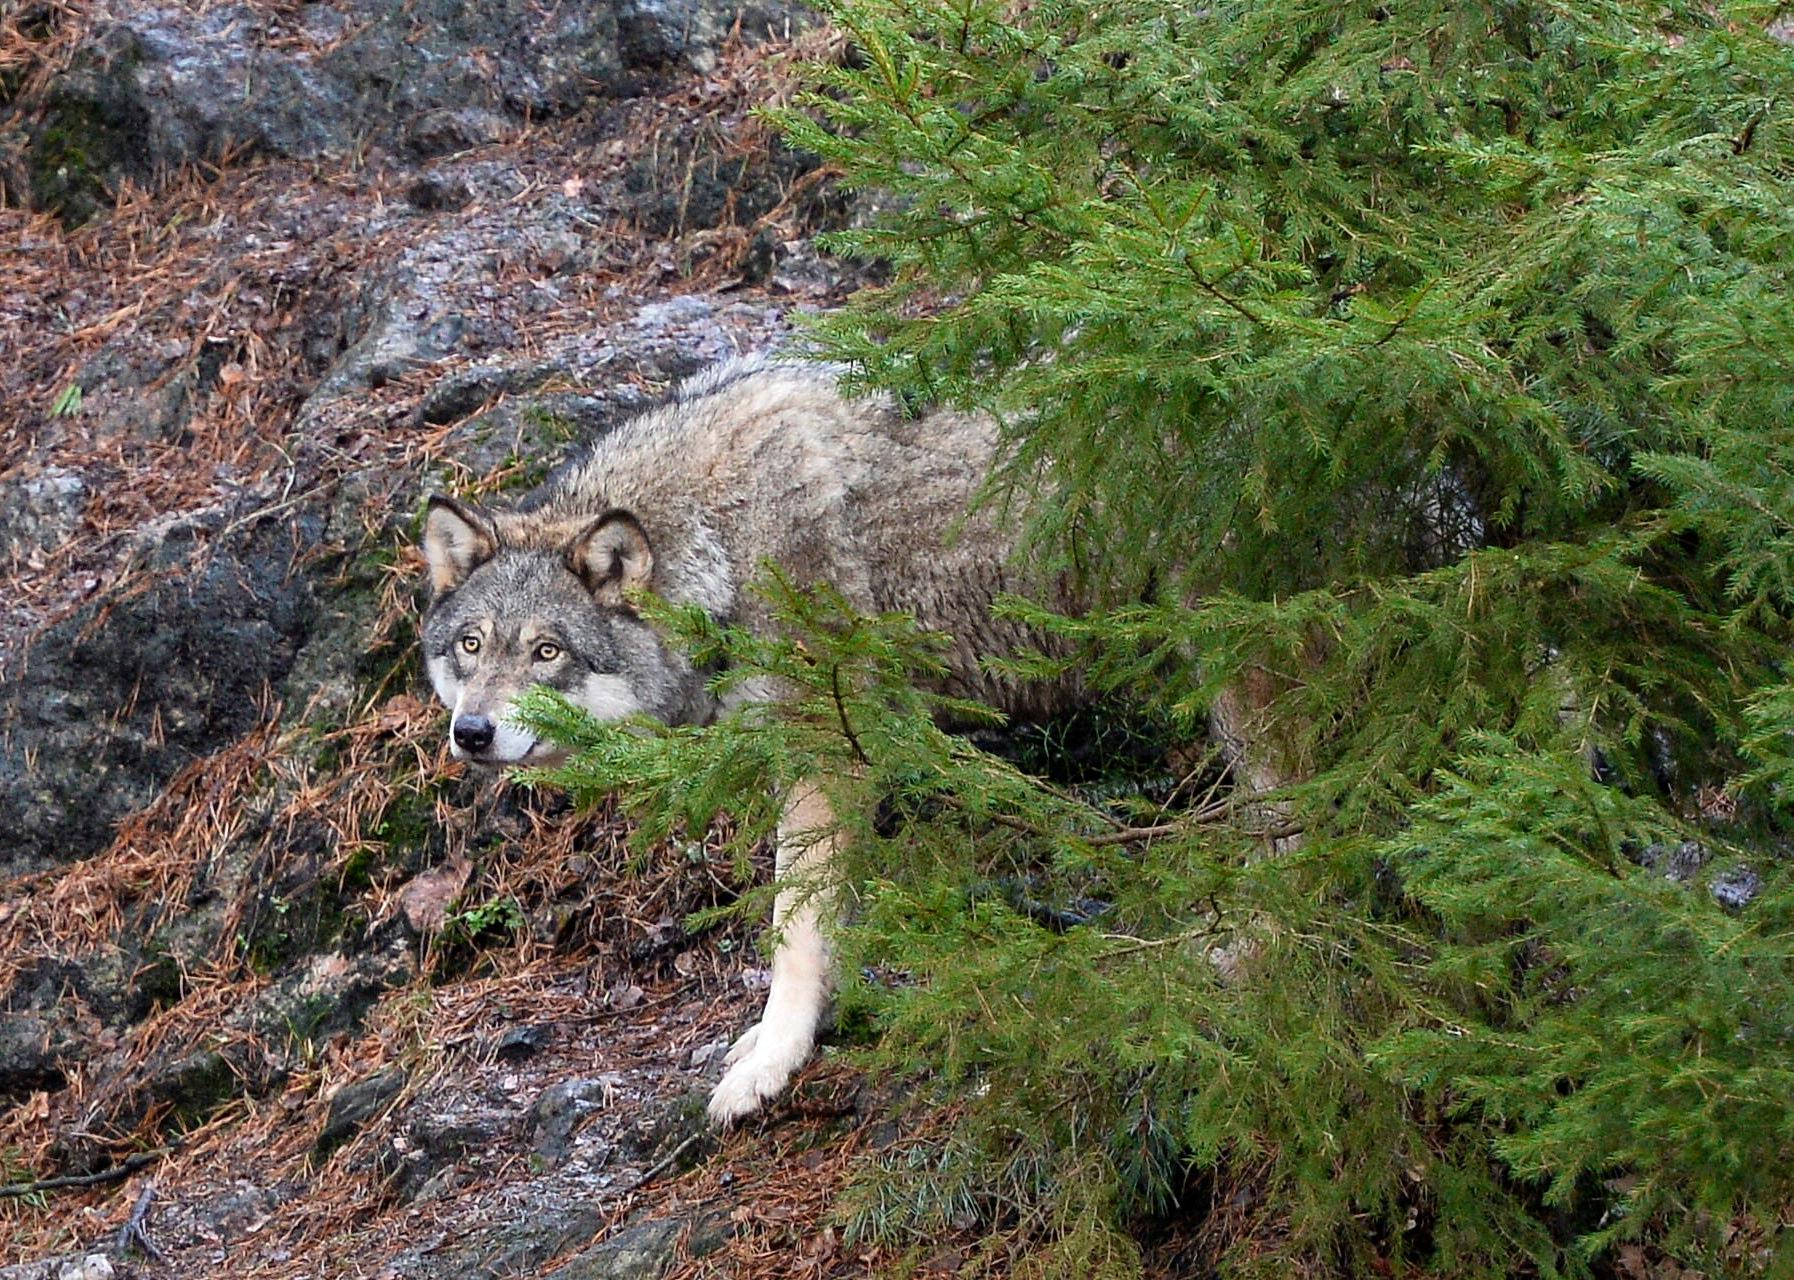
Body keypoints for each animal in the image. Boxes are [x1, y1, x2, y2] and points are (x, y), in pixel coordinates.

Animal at [416, 353, 1076, 1120]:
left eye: (546, 652)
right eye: (471, 644)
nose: (472, 732)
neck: (723, 545)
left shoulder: (823, 754)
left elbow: (795, 929)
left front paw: (774, 1061)